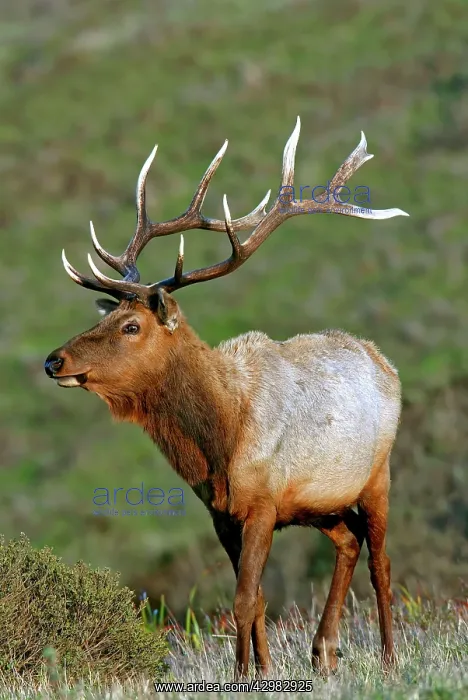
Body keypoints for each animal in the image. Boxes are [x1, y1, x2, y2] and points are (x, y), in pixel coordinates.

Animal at [44, 117, 408, 679]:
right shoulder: (221, 512)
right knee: (348, 541)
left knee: (381, 561)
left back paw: (389, 658)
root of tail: (381, 359)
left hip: (378, 474)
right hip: (321, 503)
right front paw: (262, 670)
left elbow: (242, 600)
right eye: (107, 317)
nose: (54, 360)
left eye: (131, 326)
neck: (219, 442)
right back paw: (323, 651)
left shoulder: (261, 504)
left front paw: (242, 675)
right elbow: (254, 600)